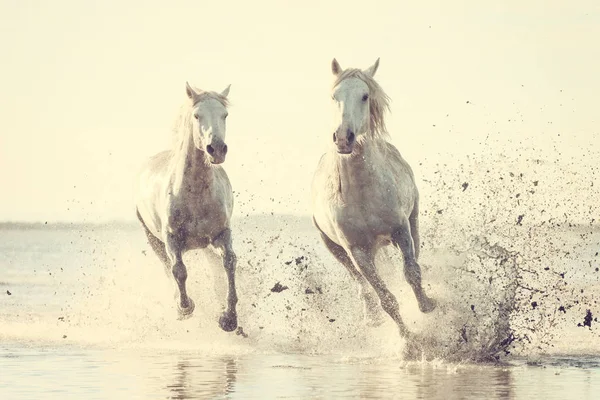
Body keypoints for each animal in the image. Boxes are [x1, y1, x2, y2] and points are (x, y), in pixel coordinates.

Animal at [136, 81, 239, 332]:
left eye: (225, 114)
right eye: (196, 115)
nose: (217, 149)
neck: (195, 195)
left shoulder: (222, 234)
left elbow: (229, 263)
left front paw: (229, 318)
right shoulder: (172, 238)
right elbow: (179, 270)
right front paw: (185, 307)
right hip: (153, 239)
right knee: (167, 267)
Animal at [312, 57, 434, 338]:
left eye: (365, 95)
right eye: (334, 96)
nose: (343, 138)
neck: (361, 194)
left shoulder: (400, 230)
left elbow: (412, 272)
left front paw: (427, 305)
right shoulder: (357, 251)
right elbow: (385, 298)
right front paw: (408, 339)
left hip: (413, 219)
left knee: (416, 255)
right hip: (334, 248)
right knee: (360, 283)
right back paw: (371, 316)